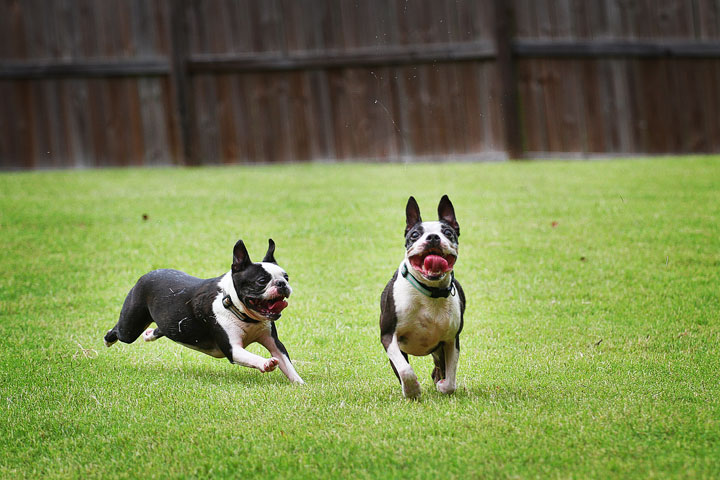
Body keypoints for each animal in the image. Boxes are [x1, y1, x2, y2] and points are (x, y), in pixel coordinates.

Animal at [376, 193, 466, 400]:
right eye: (415, 235)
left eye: (448, 232)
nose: (433, 237)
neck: (430, 292)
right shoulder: (388, 336)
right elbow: (405, 370)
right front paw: (412, 391)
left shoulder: (451, 340)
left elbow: (450, 380)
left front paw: (443, 386)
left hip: (439, 350)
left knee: (439, 369)